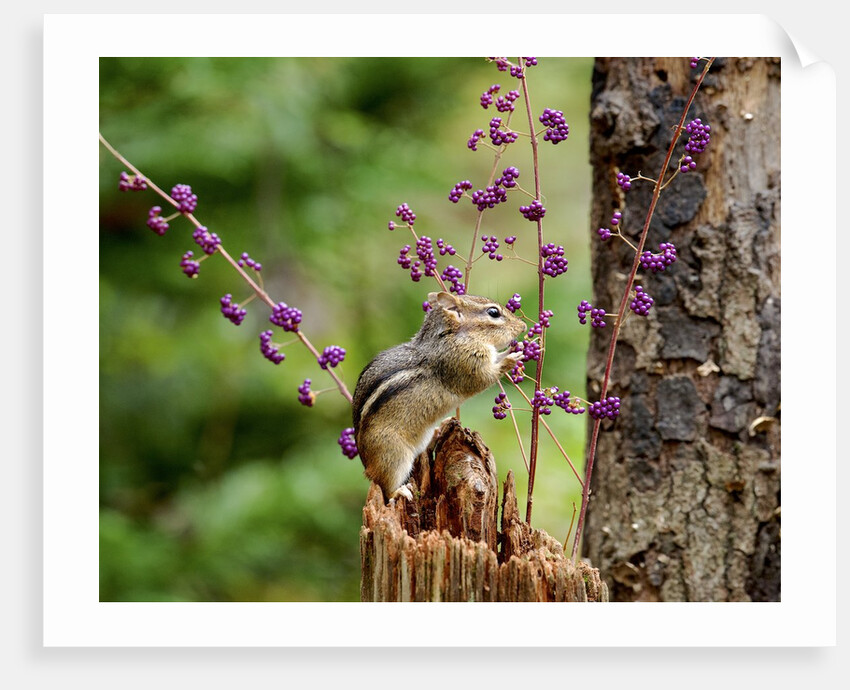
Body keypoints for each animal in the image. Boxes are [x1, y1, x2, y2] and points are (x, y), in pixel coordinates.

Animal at [352, 290, 527, 501]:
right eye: (493, 312)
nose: (523, 326)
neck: (452, 337)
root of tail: (366, 465)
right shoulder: (465, 365)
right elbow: (485, 377)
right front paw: (511, 358)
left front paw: (512, 349)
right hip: (393, 456)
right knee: (386, 487)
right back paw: (399, 491)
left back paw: (440, 428)